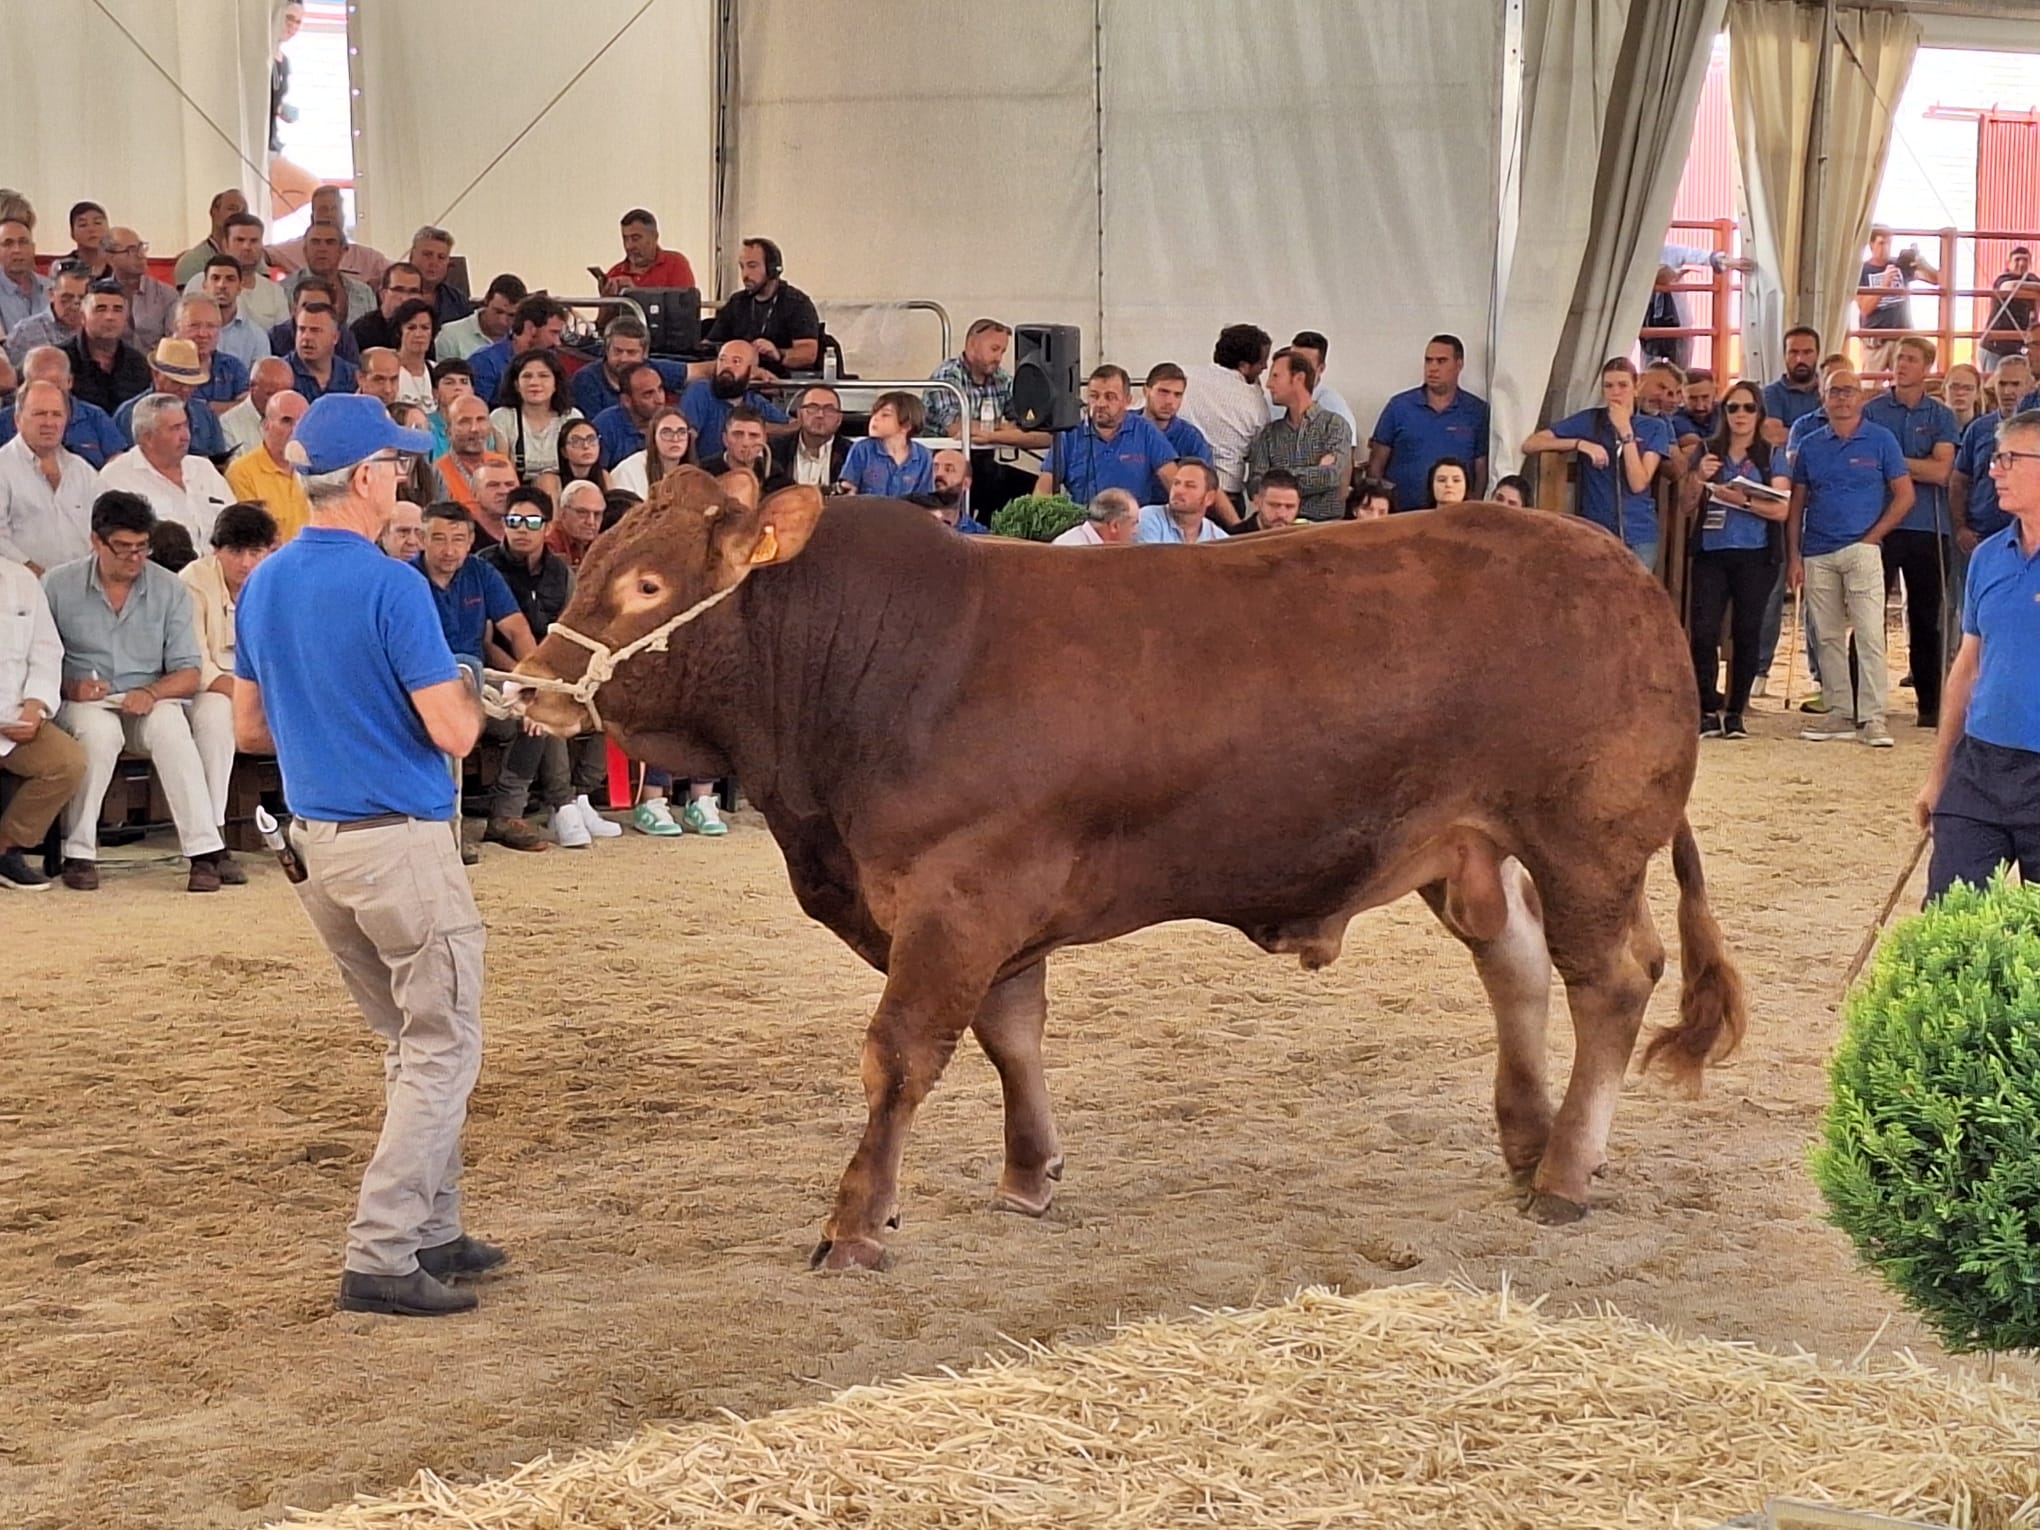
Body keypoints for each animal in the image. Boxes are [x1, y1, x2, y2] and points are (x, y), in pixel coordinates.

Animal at [505, 473, 1738, 1272]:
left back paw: (1566, 1174)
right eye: (587, 560)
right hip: (1470, 845)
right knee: (1517, 967)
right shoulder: (985, 912)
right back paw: (1526, 1143)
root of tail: (1618, 566)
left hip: (1589, 839)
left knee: (1611, 979)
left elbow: (899, 1056)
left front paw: (854, 1224)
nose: (529, 690)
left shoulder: (958, 899)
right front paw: (1028, 1176)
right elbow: (1011, 1036)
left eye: (648, 585)